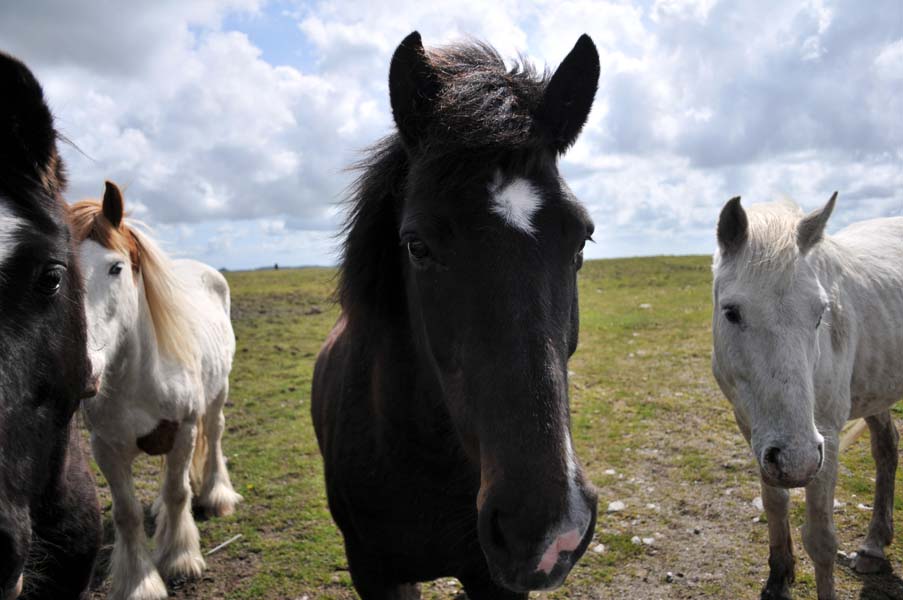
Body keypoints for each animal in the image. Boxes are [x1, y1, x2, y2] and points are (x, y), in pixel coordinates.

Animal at [71, 183, 242, 600]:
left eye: (115, 268)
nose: (80, 370)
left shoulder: (184, 429)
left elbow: (179, 492)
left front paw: (180, 559)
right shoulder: (105, 447)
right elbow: (126, 513)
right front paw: (139, 581)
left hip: (217, 395)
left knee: (214, 436)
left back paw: (216, 495)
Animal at [712, 193, 903, 600]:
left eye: (820, 312)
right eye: (731, 312)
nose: (797, 460)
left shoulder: (826, 436)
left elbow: (820, 540)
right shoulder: (752, 430)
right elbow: (774, 503)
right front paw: (778, 578)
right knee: (886, 447)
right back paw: (873, 546)